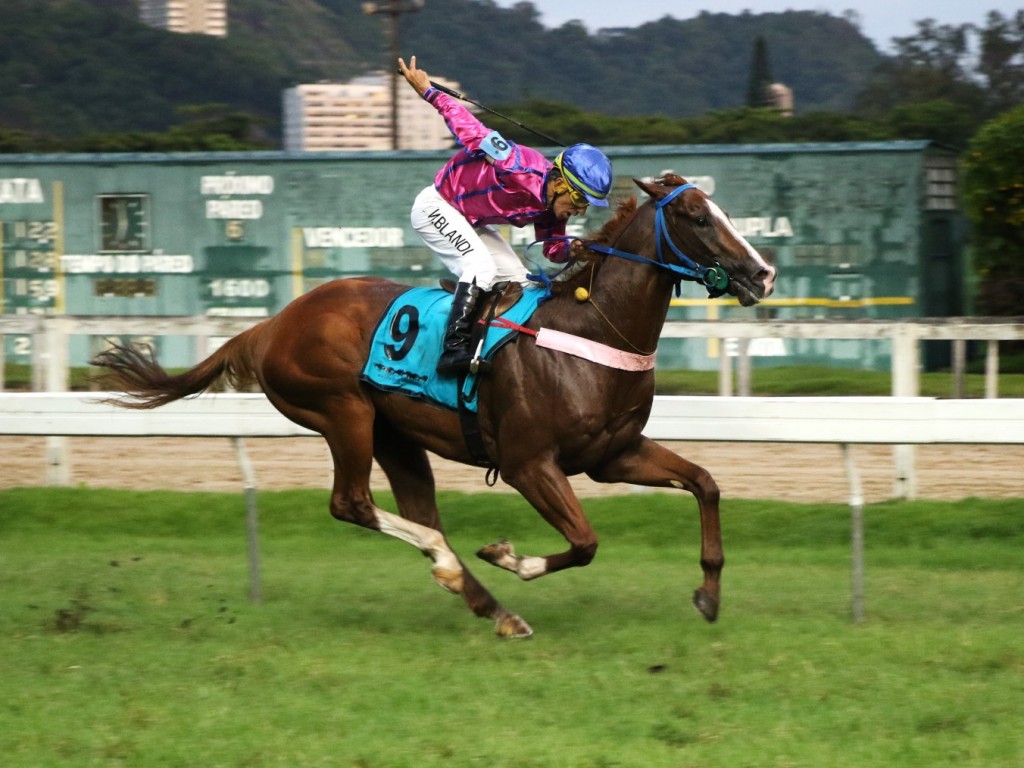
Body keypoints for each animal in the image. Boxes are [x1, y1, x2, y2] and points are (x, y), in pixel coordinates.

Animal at [92, 177, 770, 638]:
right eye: (696, 216)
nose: (761, 274)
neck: (588, 331)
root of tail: (273, 324)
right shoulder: (529, 464)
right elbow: (584, 542)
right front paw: (509, 556)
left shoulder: (613, 455)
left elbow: (705, 483)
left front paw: (709, 594)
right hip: (343, 412)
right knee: (353, 504)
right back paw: (451, 564)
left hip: (396, 435)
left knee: (417, 511)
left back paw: (491, 607)